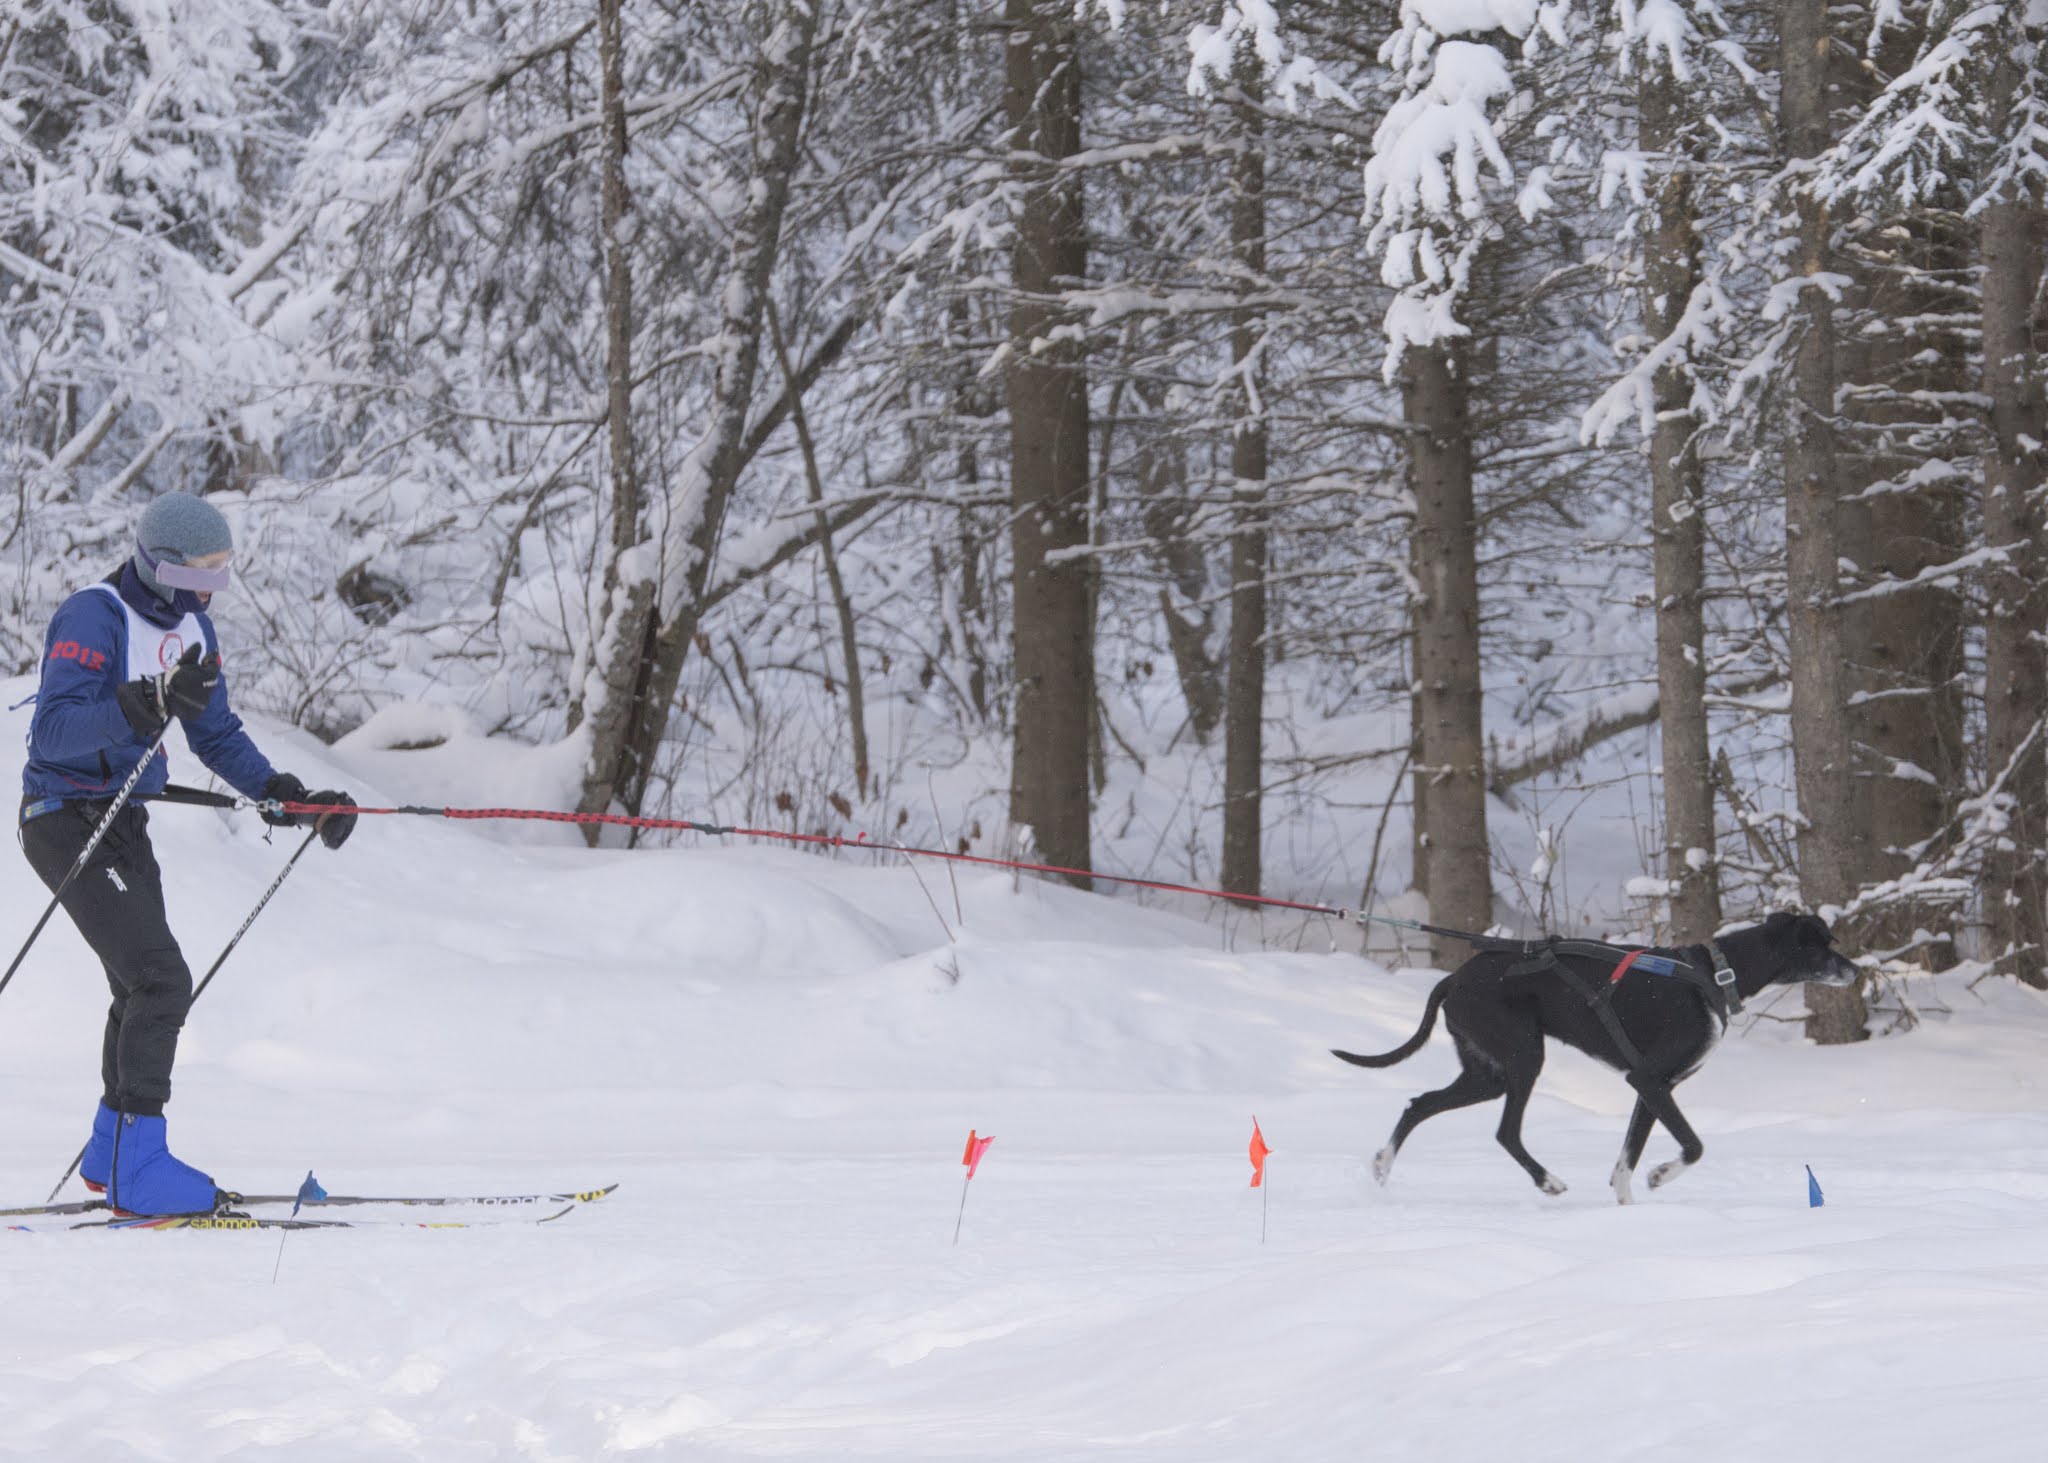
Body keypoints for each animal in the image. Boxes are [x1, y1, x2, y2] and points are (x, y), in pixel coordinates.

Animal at [1335, 909, 1867, 1196]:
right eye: (1822, 946)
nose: (1858, 971)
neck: (1717, 973)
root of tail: (1452, 979)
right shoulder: (1650, 1081)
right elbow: (1692, 1146)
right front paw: (1660, 1175)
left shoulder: (1652, 1089)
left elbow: (1623, 1165)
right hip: (1523, 1059)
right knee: (1506, 1132)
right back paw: (1547, 1181)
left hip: (1487, 1073)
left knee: (1418, 1103)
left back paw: (1382, 1167)